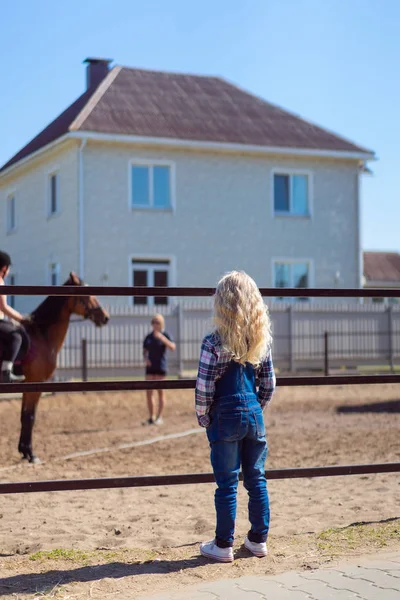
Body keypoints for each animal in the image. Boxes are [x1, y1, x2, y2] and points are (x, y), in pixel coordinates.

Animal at [17, 274, 108, 464]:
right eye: (87, 295)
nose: (105, 317)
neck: (41, 336)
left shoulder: (27, 383)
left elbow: (24, 415)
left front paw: (24, 451)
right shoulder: (35, 382)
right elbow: (30, 416)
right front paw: (31, 454)